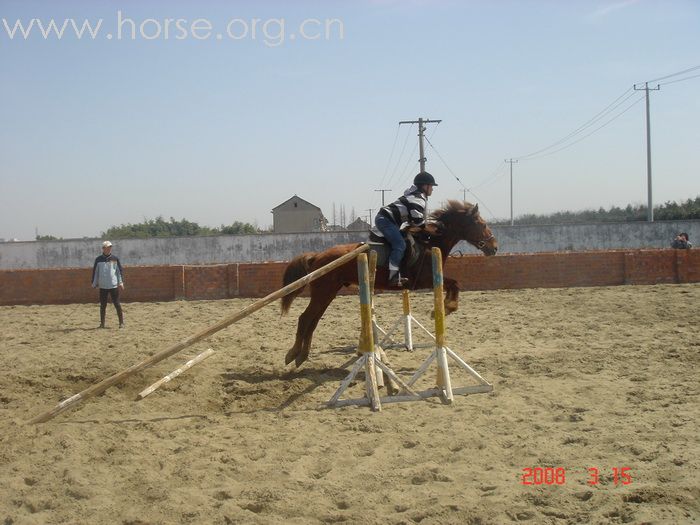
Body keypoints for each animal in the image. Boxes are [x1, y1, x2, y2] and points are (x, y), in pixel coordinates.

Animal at [278, 199, 498, 366]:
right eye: (482, 224)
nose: (494, 247)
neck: (431, 242)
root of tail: (317, 256)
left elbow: (455, 284)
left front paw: (446, 307)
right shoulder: (426, 279)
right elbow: (454, 284)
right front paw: (446, 307)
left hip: (327, 293)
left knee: (312, 321)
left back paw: (302, 356)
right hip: (324, 292)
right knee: (305, 319)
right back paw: (293, 354)